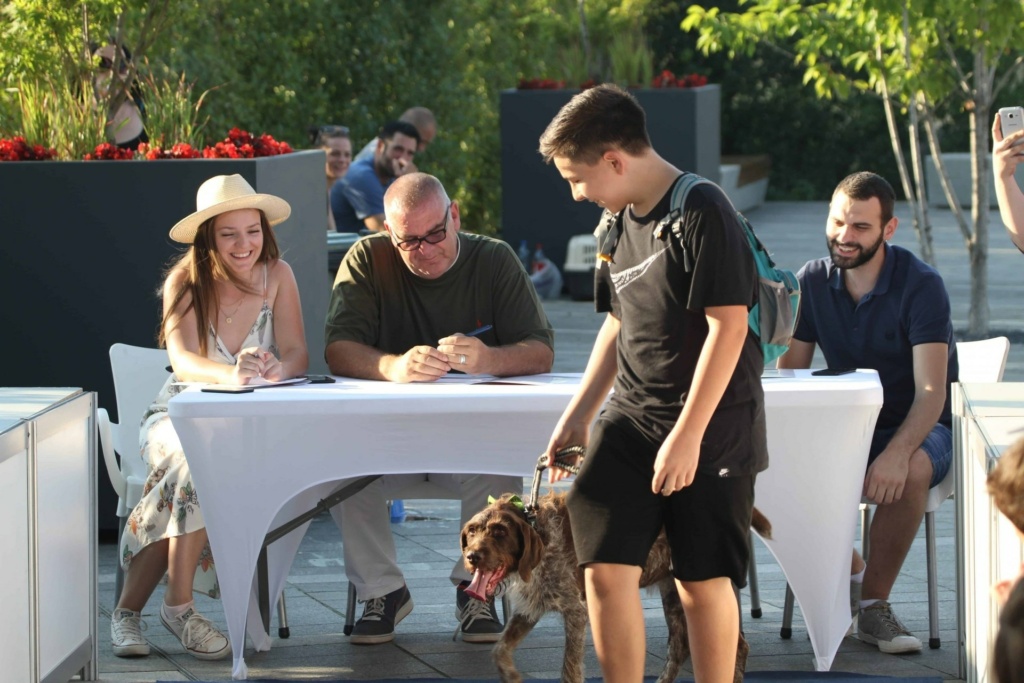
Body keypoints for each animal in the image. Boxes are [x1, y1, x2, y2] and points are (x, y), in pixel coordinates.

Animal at [460, 493, 770, 679]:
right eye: (472, 531)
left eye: (500, 532)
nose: (472, 556)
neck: (540, 529)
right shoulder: (531, 609)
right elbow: (499, 650)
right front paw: (511, 676)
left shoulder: (576, 612)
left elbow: (570, 669)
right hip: (673, 593)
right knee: (680, 647)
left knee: (737, 646)